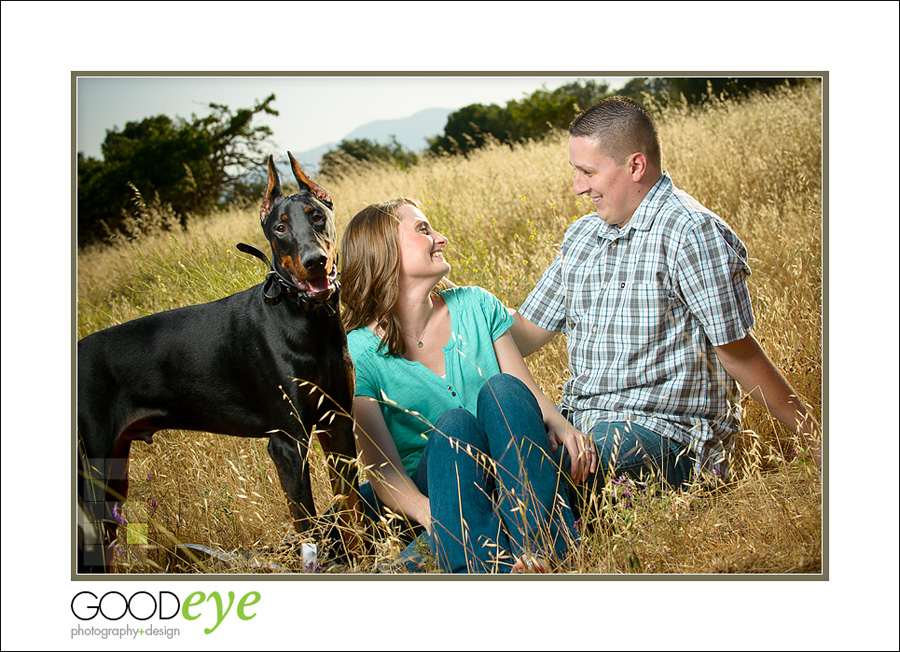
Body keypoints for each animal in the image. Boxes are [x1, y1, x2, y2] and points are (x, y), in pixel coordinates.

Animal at [76, 153, 358, 572]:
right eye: (280, 227)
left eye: (318, 216)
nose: (315, 261)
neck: (306, 318)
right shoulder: (287, 442)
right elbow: (307, 525)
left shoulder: (337, 421)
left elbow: (353, 511)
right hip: (92, 472)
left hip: (113, 475)